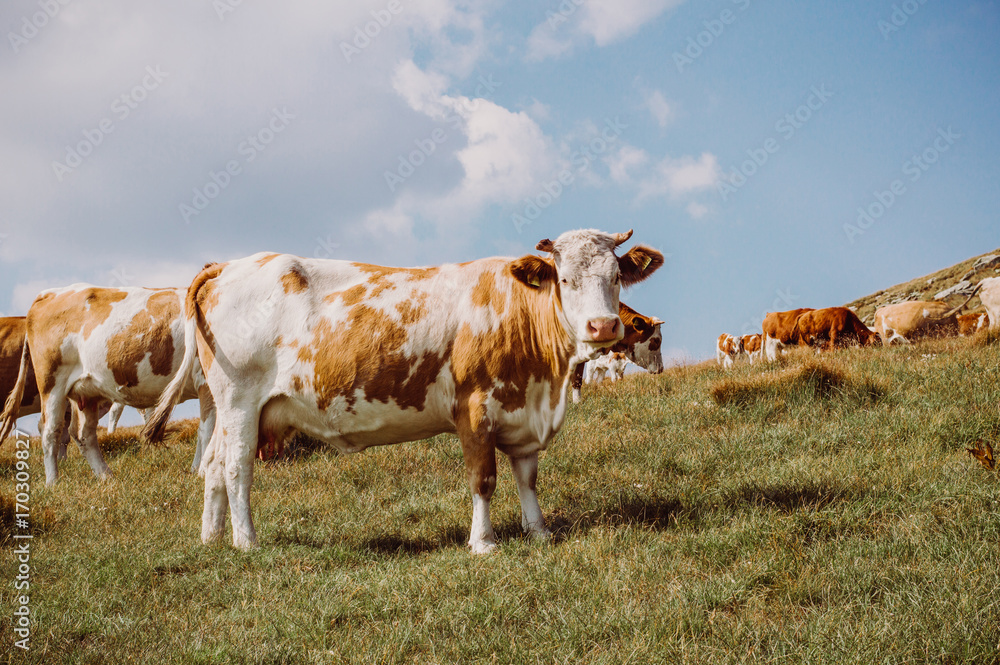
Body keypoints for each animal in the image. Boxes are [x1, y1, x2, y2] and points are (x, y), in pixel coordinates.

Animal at [0, 284, 217, 482]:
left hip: (85, 392)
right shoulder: (206, 382)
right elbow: (207, 430)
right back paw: (53, 482)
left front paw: (196, 470)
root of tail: (50, 293)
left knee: (83, 434)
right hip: (52, 384)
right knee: (50, 431)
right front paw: (203, 473)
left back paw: (106, 476)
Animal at [145, 231, 664, 552]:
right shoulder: (474, 408)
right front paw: (483, 543)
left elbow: (527, 477)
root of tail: (227, 264)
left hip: (227, 408)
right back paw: (246, 541)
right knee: (236, 468)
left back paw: (212, 538)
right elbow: (484, 479)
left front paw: (538, 532)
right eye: (565, 279)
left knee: (213, 466)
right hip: (239, 401)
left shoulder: (522, 410)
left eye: (616, 278)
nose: (603, 326)